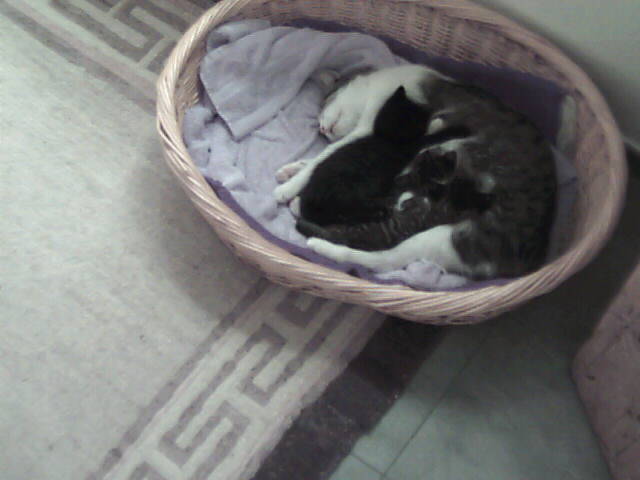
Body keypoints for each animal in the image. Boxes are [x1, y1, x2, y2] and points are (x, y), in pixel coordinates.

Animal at [278, 65, 557, 279]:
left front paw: (287, 188)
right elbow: (323, 156)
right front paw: (292, 170)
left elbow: (324, 157)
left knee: (380, 255)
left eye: (326, 102)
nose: (322, 129)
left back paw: (316, 239)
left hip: (444, 236)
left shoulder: (368, 127)